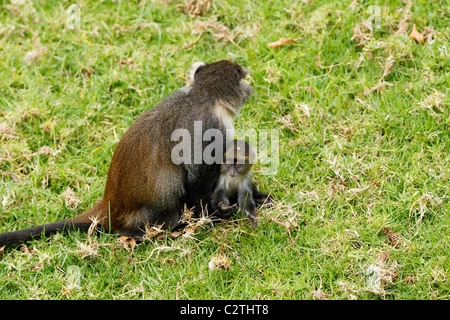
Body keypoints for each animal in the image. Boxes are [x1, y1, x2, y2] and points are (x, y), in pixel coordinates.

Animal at [0, 59, 251, 245]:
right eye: (241, 76)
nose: (250, 85)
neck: (202, 95)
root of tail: (110, 205)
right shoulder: (213, 128)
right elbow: (197, 176)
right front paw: (213, 215)